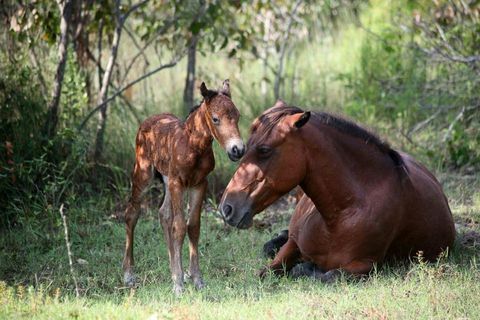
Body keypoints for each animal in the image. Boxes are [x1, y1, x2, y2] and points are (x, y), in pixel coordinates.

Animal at [122, 80, 246, 296]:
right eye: (215, 119)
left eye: (237, 116)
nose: (237, 150)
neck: (193, 147)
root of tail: (148, 121)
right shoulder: (178, 182)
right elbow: (179, 226)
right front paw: (178, 284)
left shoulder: (199, 183)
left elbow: (193, 226)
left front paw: (195, 279)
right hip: (144, 174)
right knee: (132, 213)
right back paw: (129, 274)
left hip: (166, 178)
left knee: (163, 213)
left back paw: (173, 269)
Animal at [219, 101, 456, 282]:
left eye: (264, 150)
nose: (226, 208)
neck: (340, 216)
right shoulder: (294, 243)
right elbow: (268, 269)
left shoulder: (364, 265)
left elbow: (326, 275)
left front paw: (305, 267)